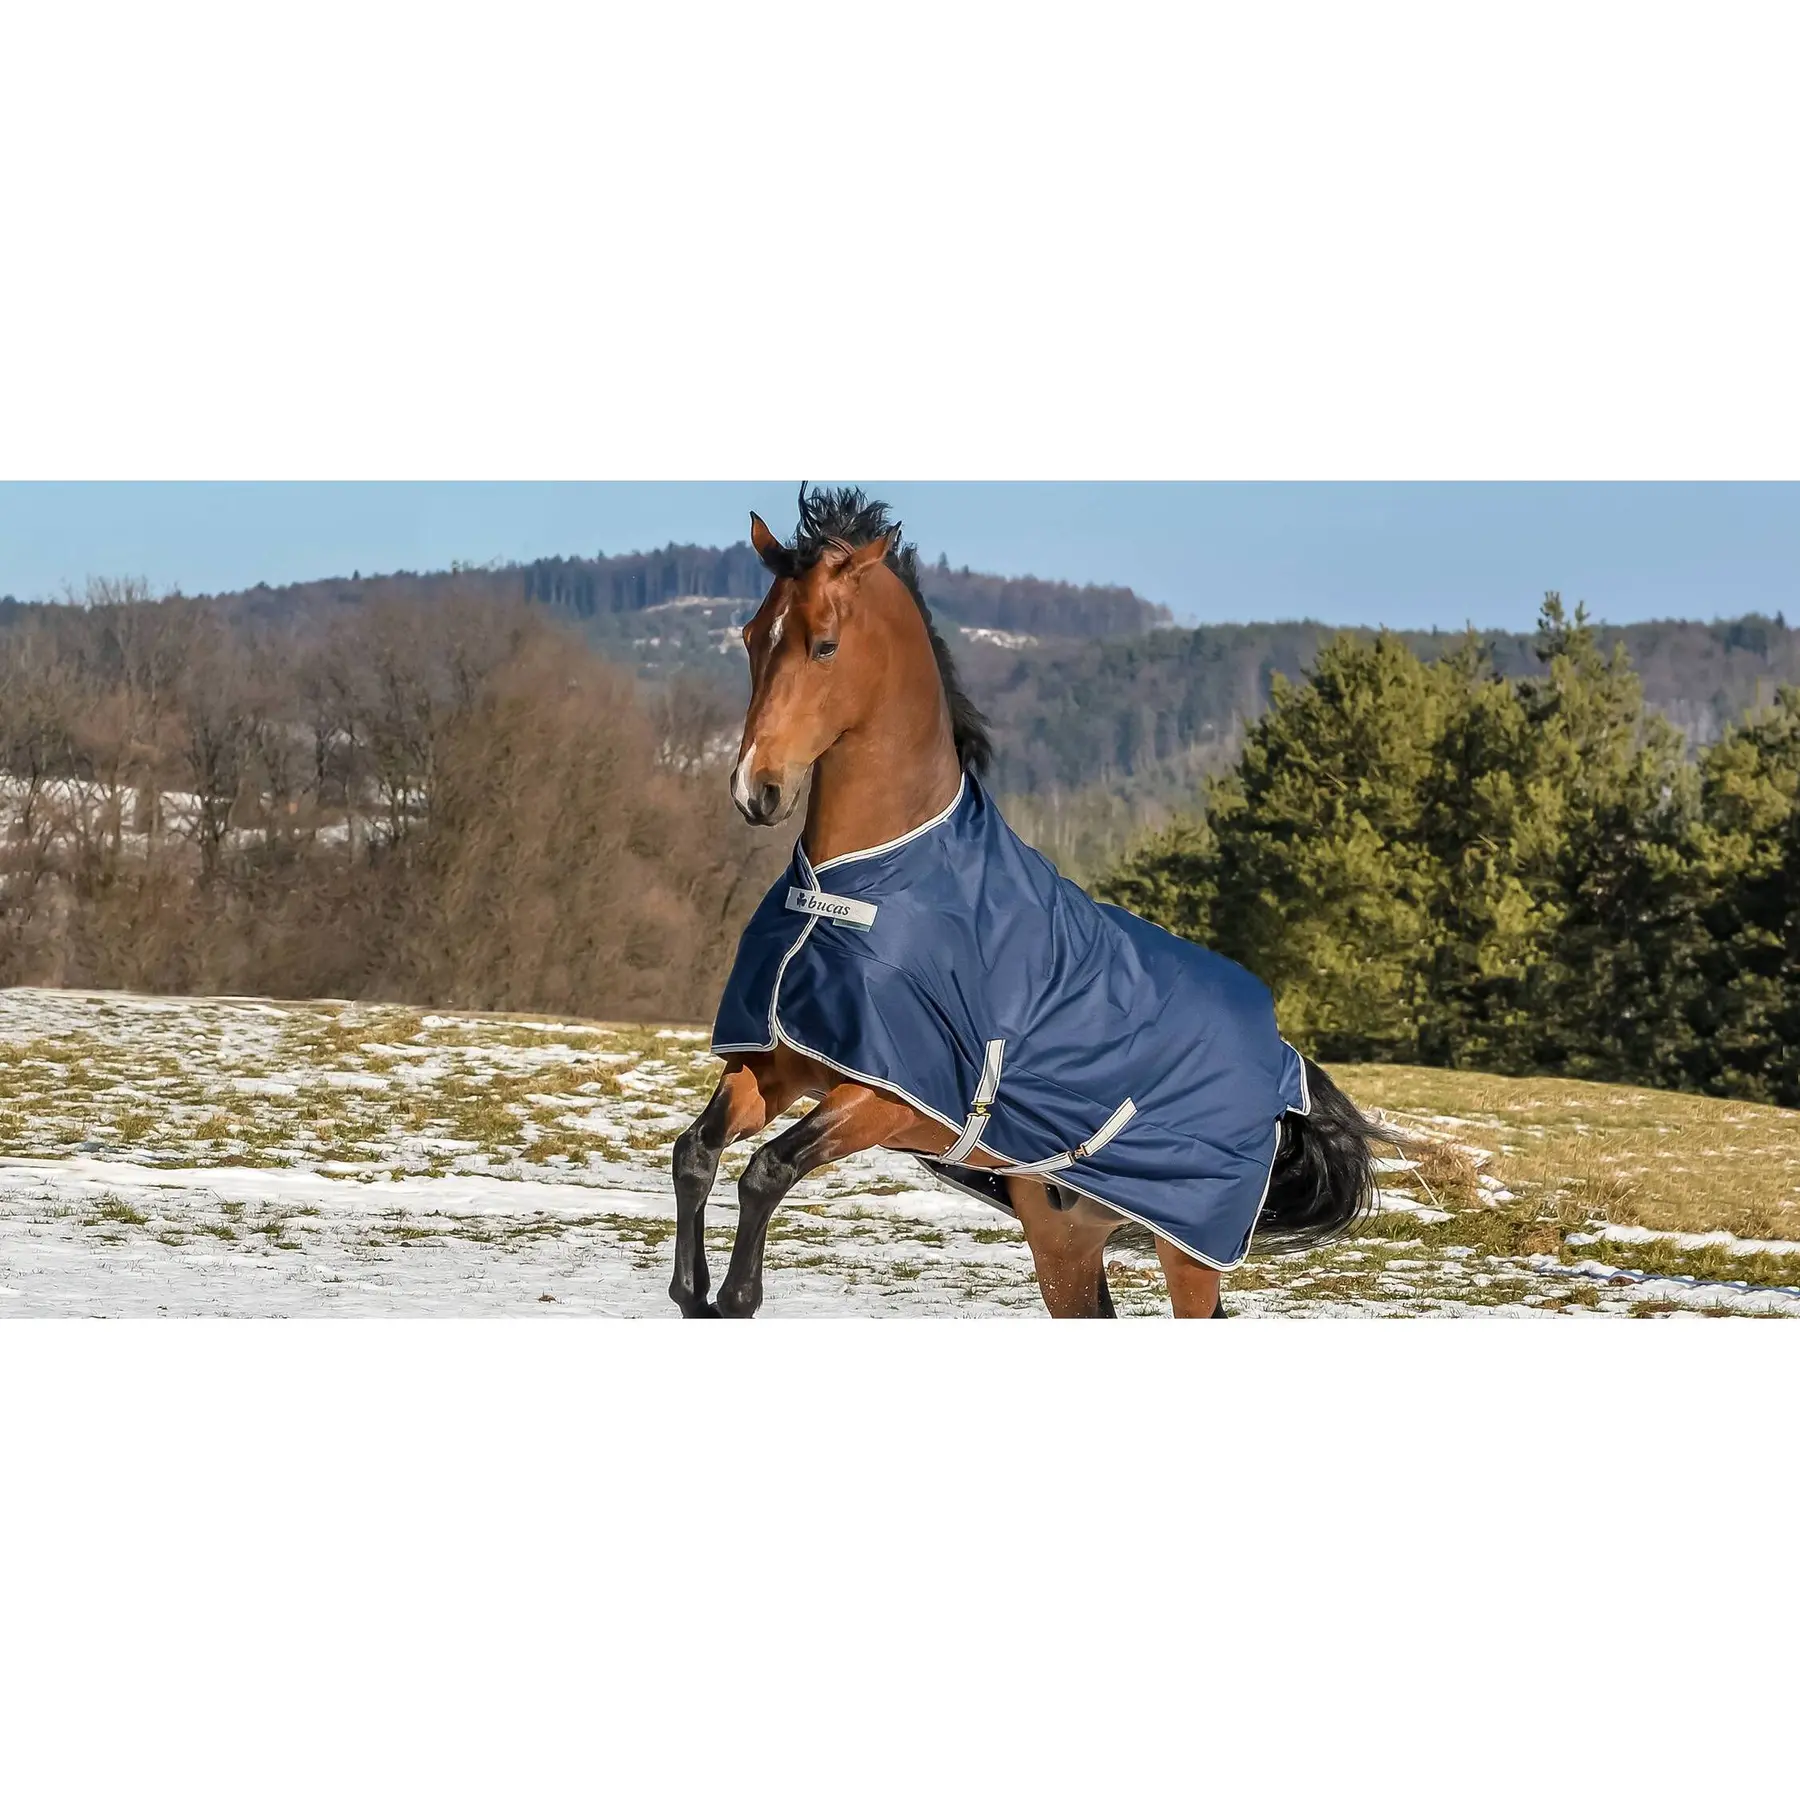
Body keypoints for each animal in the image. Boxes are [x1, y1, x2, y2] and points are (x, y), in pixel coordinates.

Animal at [670, 487, 1384, 1318]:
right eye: (753, 637)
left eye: (825, 646)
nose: (756, 789)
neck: (856, 884)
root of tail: (1284, 1063)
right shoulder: (777, 1063)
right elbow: (697, 1153)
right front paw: (691, 1291)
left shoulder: (893, 1099)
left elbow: (768, 1171)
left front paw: (735, 1295)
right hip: (1064, 1232)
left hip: (1189, 1249)